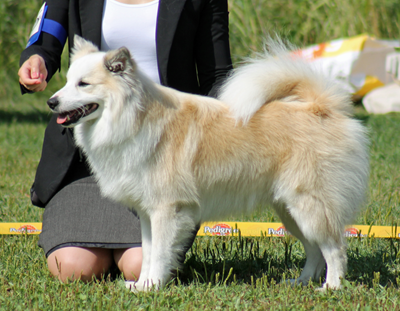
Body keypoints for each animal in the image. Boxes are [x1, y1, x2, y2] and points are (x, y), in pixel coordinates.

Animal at [47, 36, 368, 292]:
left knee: (334, 248)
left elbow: (159, 253)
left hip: (309, 204)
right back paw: (302, 282)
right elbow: (148, 253)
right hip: (289, 210)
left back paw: (331, 287)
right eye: (66, 81)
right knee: (315, 250)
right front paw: (142, 285)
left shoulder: (166, 210)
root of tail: (320, 107)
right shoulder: (149, 213)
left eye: (83, 84)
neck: (135, 118)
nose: (51, 102)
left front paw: (152, 287)